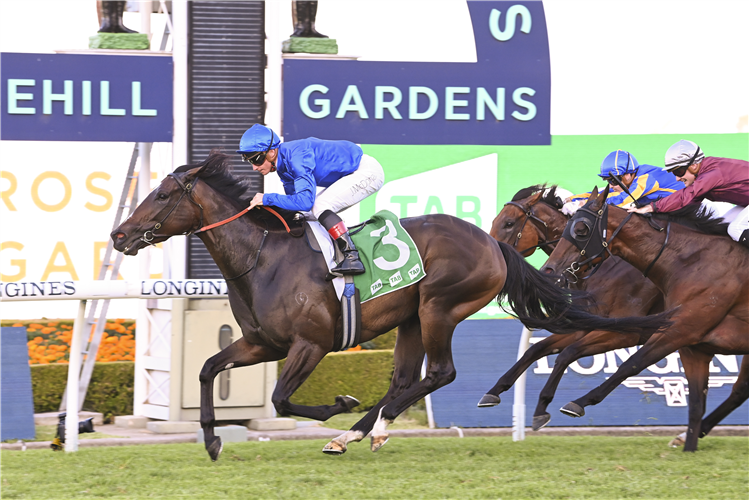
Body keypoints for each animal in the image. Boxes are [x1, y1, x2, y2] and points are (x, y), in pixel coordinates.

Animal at [111, 153, 672, 460]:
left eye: (162, 195)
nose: (119, 235)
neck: (263, 258)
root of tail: (492, 246)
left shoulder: (310, 344)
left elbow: (282, 400)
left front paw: (338, 405)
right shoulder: (259, 343)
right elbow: (209, 369)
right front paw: (211, 442)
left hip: (439, 308)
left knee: (440, 373)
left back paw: (368, 427)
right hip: (409, 319)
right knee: (404, 379)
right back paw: (359, 434)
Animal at [540, 188, 748, 454]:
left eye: (581, 229)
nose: (548, 271)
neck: (692, 262)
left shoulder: (677, 330)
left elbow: (631, 364)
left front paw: (579, 402)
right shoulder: (693, 346)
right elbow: (696, 403)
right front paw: (688, 446)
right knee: (739, 391)